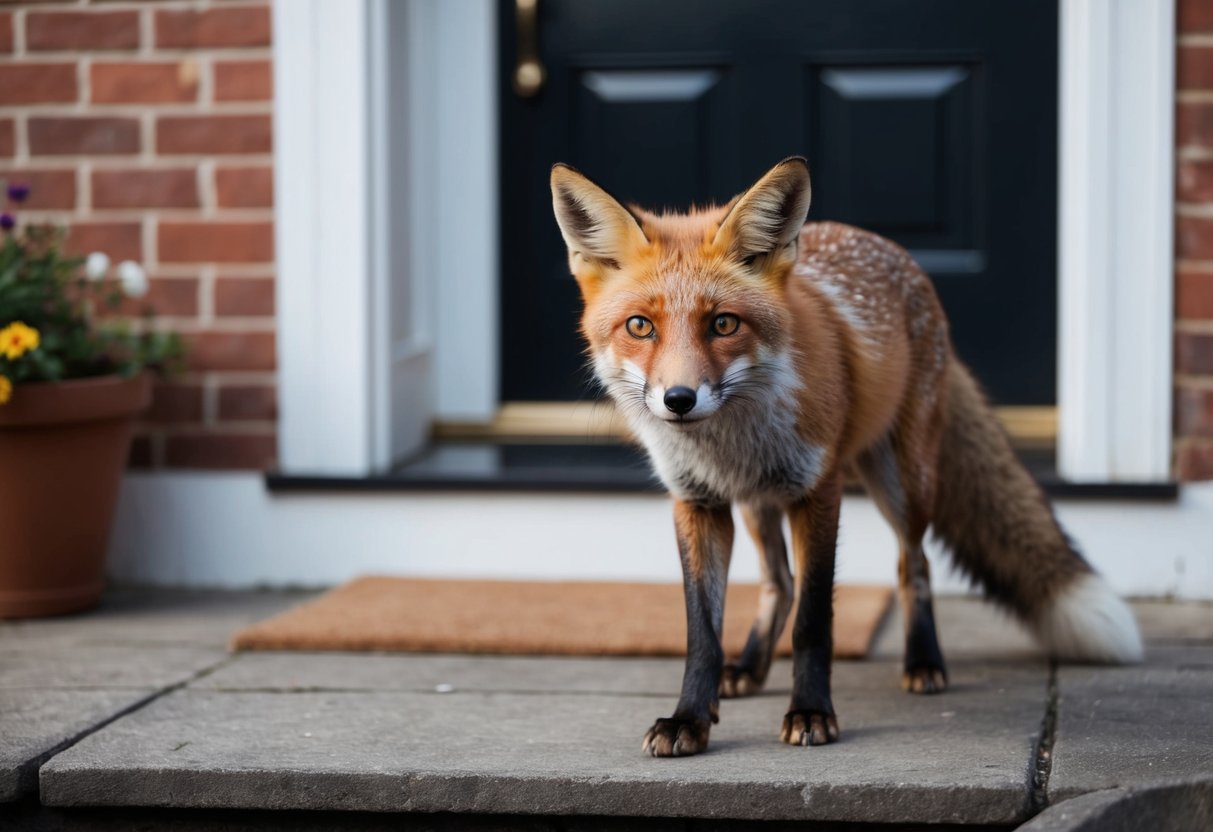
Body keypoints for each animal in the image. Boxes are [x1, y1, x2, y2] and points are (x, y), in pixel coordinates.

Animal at [550, 157, 1144, 757]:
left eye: (723, 323)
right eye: (639, 326)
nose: (678, 399)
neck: (731, 443)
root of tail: (893, 249)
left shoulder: (819, 490)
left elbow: (815, 620)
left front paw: (811, 712)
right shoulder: (697, 503)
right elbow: (703, 634)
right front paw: (690, 718)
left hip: (903, 484)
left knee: (914, 565)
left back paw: (923, 662)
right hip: (759, 505)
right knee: (778, 584)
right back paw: (749, 667)